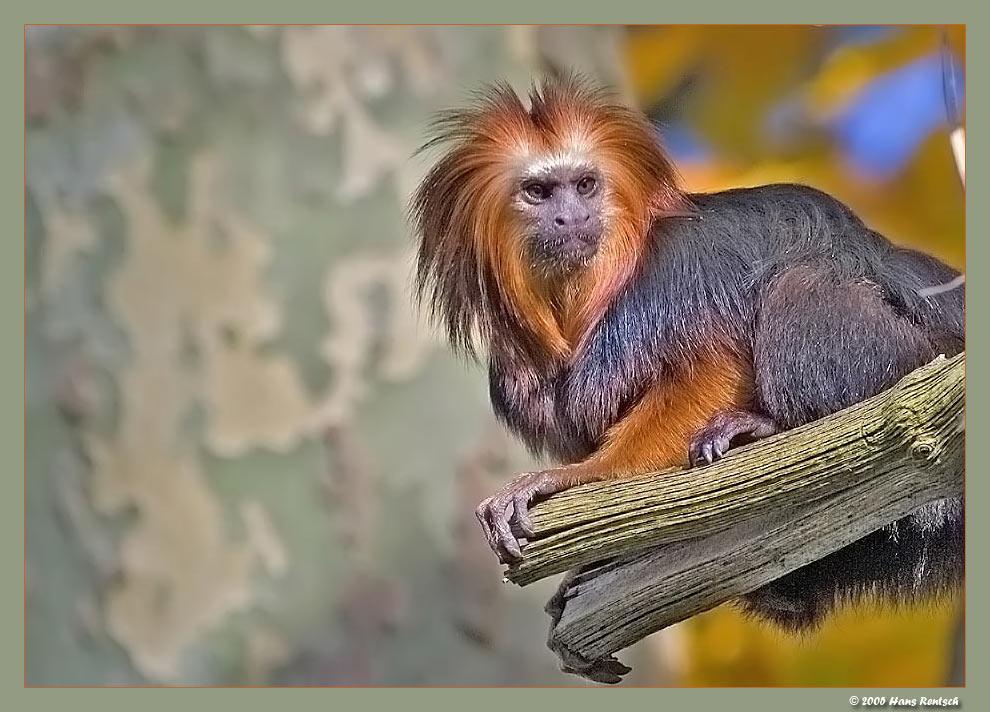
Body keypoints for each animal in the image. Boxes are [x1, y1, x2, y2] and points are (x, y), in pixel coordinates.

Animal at [410, 76, 964, 631]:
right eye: (539, 192)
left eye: (585, 185)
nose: (570, 216)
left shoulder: (678, 277)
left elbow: (711, 371)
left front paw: (574, 477)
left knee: (802, 285)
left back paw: (762, 427)